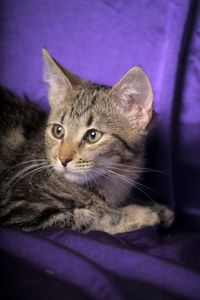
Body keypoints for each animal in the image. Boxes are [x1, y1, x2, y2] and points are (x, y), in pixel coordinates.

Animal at [0, 49, 173, 233]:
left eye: (92, 135)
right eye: (58, 131)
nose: (63, 159)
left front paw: (157, 208)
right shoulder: (20, 209)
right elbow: (90, 217)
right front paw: (141, 214)